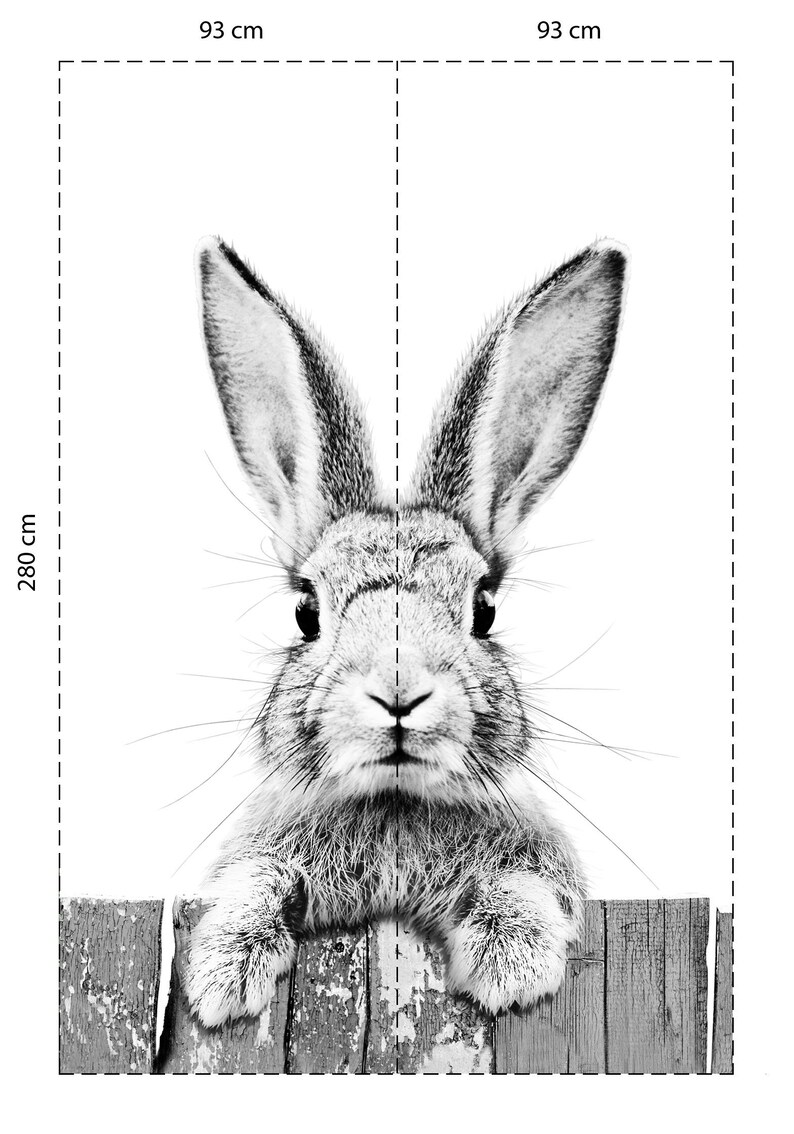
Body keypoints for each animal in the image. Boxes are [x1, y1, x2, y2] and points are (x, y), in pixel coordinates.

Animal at [183, 236, 628, 1027]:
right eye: (306, 612)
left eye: (484, 609)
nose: (397, 694)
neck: (396, 807)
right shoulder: (261, 854)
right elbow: (256, 881)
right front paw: (223, 978)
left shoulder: (542, 866)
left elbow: (525, 885)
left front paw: (511, 966)